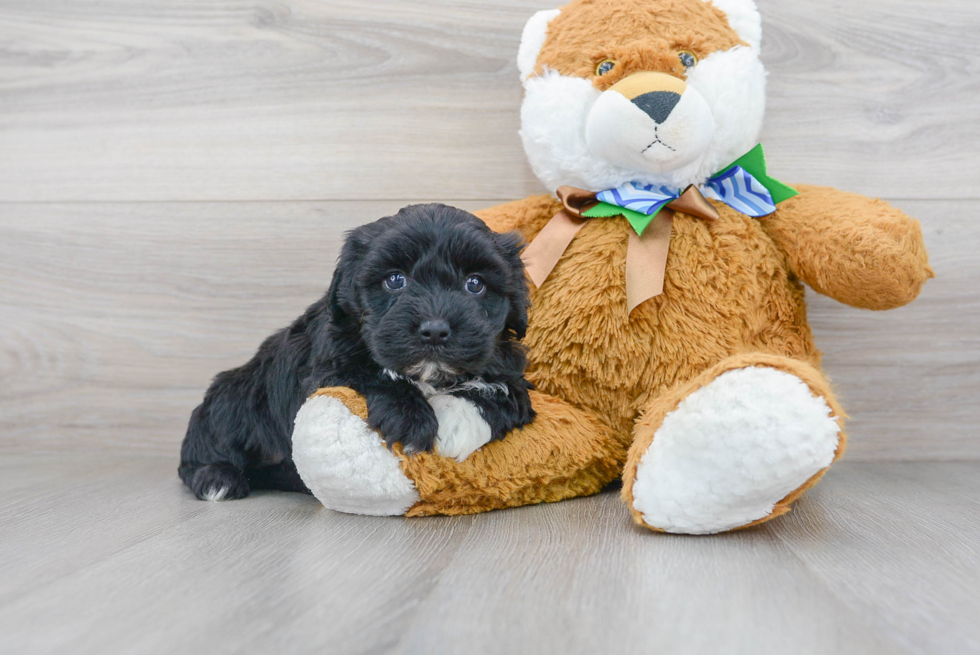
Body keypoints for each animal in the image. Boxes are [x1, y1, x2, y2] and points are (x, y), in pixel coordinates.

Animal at [182, 205, 536, 502]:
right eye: (395, 280)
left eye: (474, 284)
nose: (435, 330)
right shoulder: (325, 367)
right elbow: (367, 372)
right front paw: (410, 416)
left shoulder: (506, 364)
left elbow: (506, 391)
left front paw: (453, 420)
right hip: (231, 399)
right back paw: (216, 478)